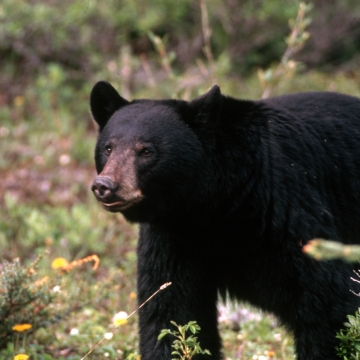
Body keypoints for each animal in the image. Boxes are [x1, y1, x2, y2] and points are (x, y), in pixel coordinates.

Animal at [90, 81, 360, 360]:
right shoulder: (172, 238)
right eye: (108, 147)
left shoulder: (287, 209)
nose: (105, 186)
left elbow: (327, 302)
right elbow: (171, 311)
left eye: (146, 150)